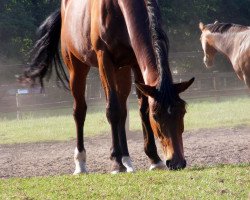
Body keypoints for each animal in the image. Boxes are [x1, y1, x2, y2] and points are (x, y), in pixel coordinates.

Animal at [21, 0, 193, 173]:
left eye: (183, 112)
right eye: (156, 116)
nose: (177, 162)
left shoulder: (135, 63)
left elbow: (141, 109)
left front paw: (154, 159)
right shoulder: (104, 59)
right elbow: (112, 110)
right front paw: (116, 162)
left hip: (122, 70)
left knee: (123, 111)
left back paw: (127, 160)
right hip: (76, 67)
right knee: (80, 111)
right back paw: (81, 163)